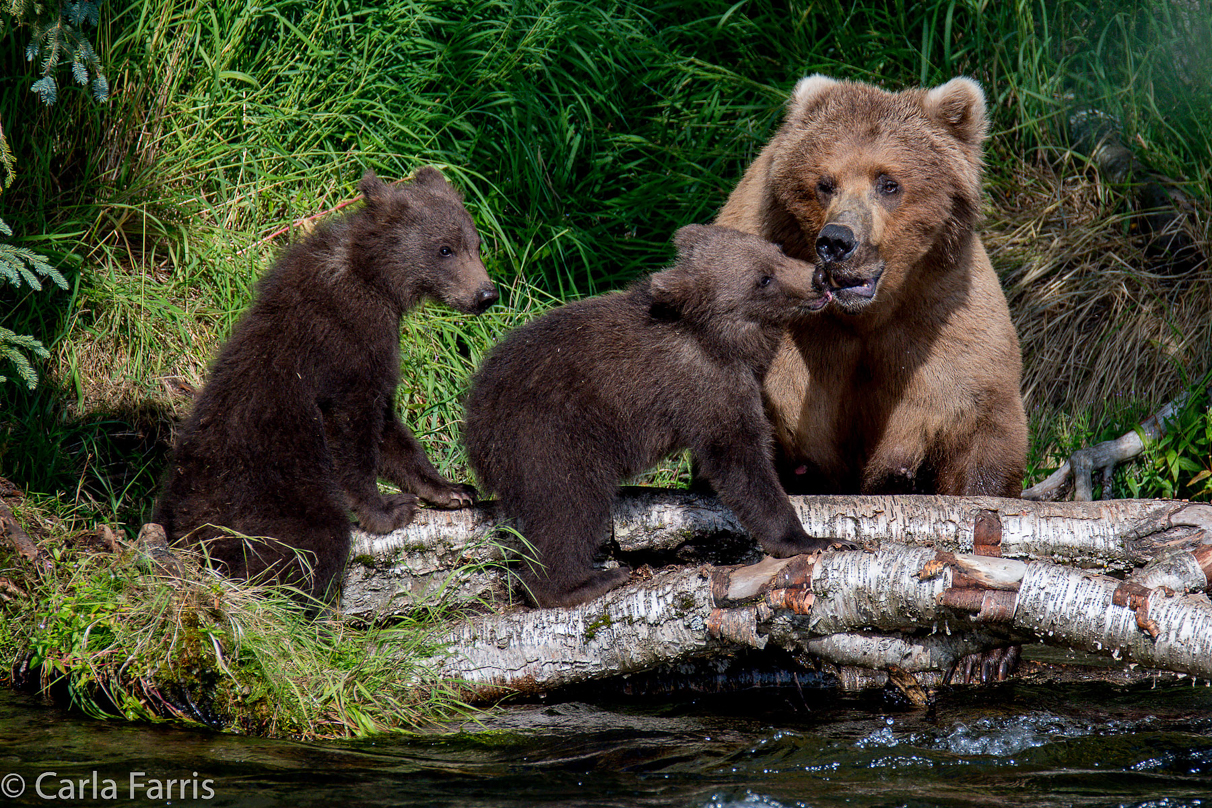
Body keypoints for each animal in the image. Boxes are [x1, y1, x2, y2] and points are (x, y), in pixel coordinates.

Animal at [712, 75, 1027, 496]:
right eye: (824, 183)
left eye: (888, 183)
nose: (836, 241)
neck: (864, 316)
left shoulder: (941, 317)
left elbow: (981, 417)